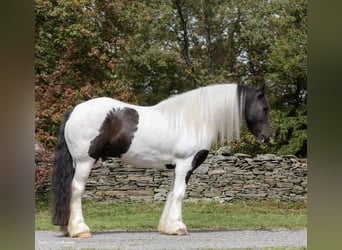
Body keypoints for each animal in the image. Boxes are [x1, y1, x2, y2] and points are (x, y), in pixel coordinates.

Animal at [50, 83, 270, 237]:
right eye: (265, 108)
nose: (266, 138)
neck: (194, 121)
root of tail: (74, 110)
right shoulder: (185, 164)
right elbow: (180, 194)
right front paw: (179, 227)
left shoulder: (177, 167)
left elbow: (172, 193)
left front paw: (168, 227)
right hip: (85, 161)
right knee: (76, 190)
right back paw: (81, 230)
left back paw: (67, 228)